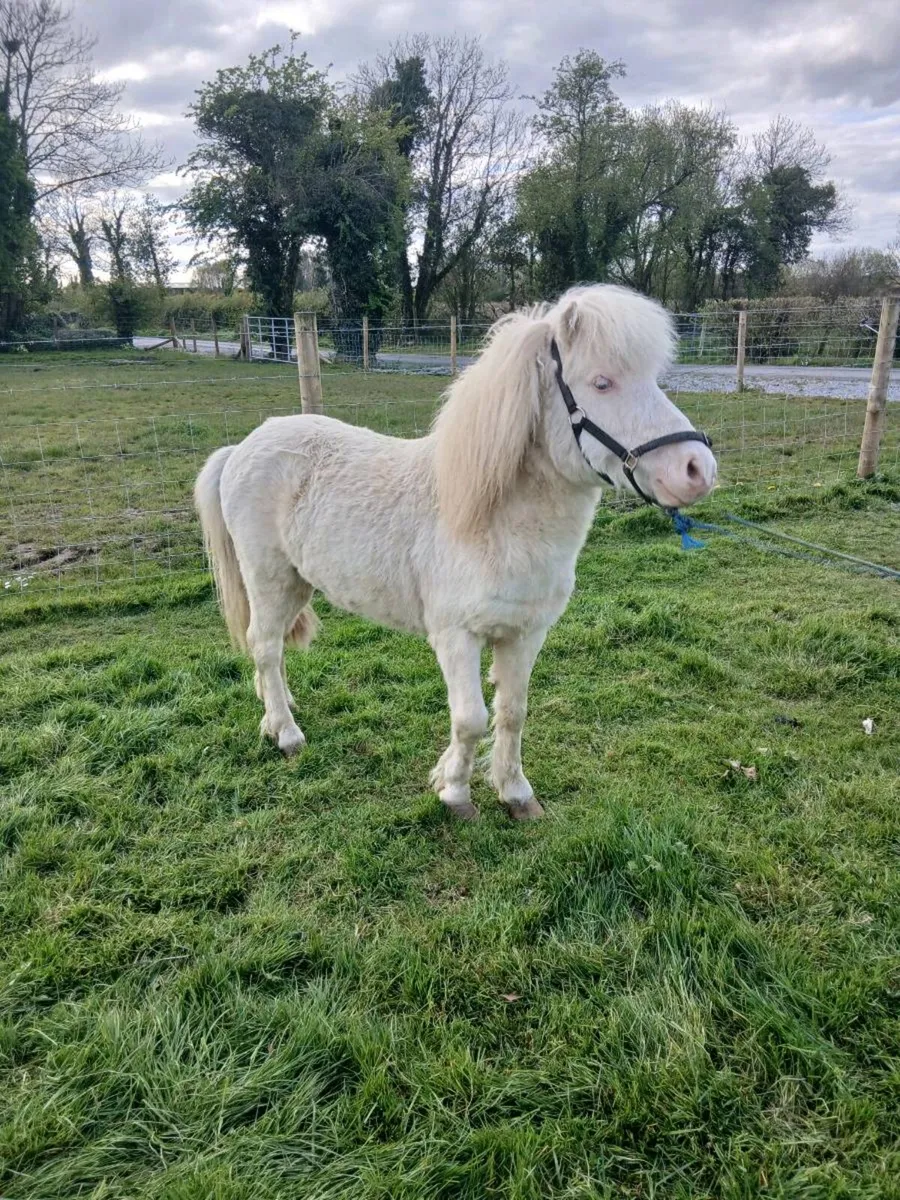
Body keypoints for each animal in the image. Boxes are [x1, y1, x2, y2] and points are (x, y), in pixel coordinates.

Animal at [194, 285, 717, 820]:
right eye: (602, 383)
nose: (698, 469)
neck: (494, 522)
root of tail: (242, 447)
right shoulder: (456, 636)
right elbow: (471, 719)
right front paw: (455, 793)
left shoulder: (525, 634)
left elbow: (512, 712)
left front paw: (515, 793)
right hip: (269, 578)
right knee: (263, 644)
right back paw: (286, 734)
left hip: (298, 583)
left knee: (273, 650)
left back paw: (279, 711)